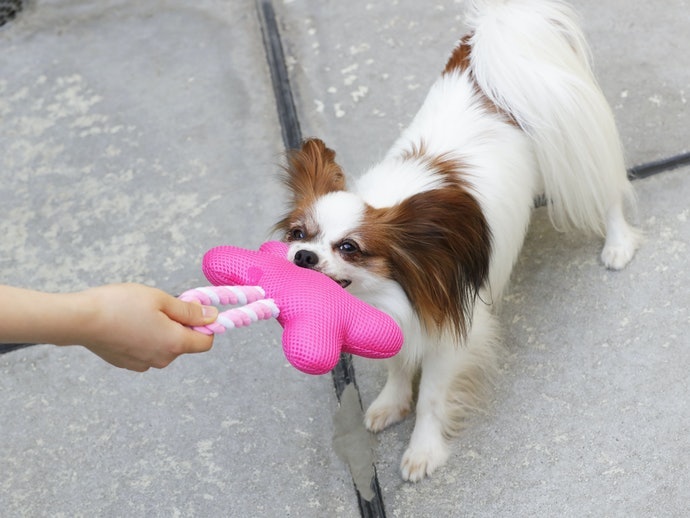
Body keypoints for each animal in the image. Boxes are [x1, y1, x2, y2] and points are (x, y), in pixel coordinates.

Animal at [274, 0, 640, 484]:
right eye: (299, 234)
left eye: (349, 247)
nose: (302, 256)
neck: (396, 287)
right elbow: (397, 366)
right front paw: (392, 403)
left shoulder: (449, 330)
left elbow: (431, 397)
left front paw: (423, 450)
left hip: (575, 144)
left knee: (609, 190)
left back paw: (617, 245)